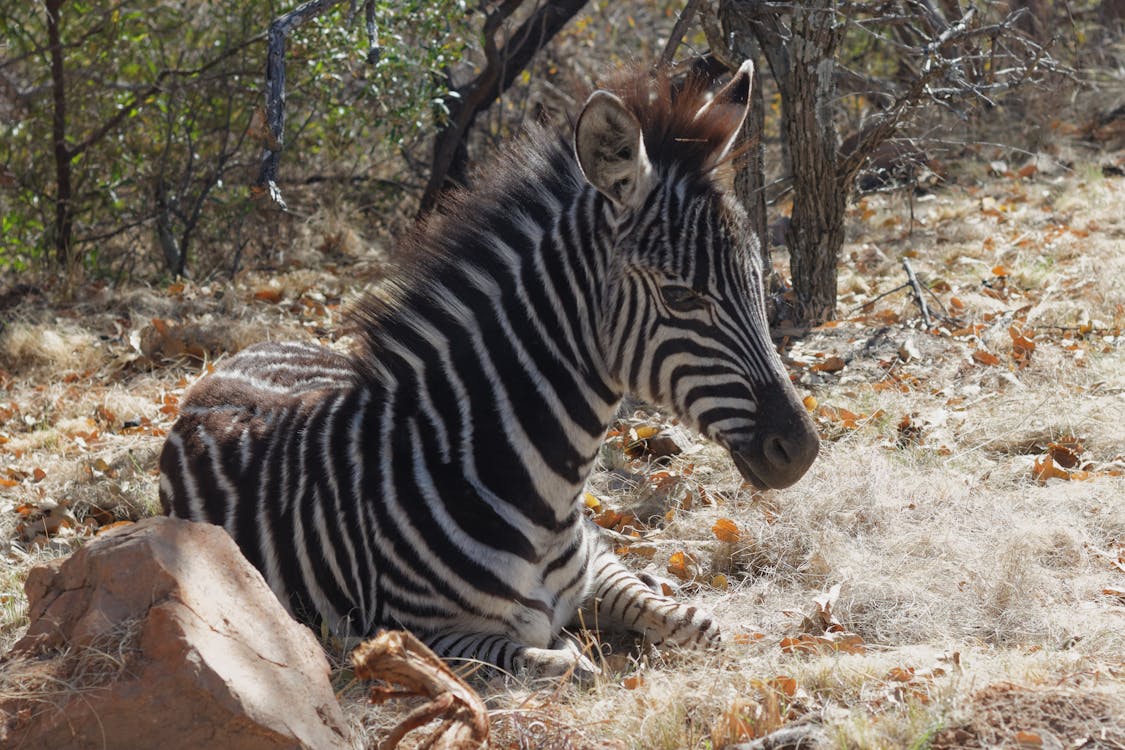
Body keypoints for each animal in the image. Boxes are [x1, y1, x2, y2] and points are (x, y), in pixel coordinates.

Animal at [158, 61, 819, 679]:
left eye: (758, 277)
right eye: (681, 297)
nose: (802, 450)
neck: (540, 499)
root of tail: (229, 362)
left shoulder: (599, 565)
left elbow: (698, 623)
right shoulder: (426, 633)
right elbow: (570, 665)